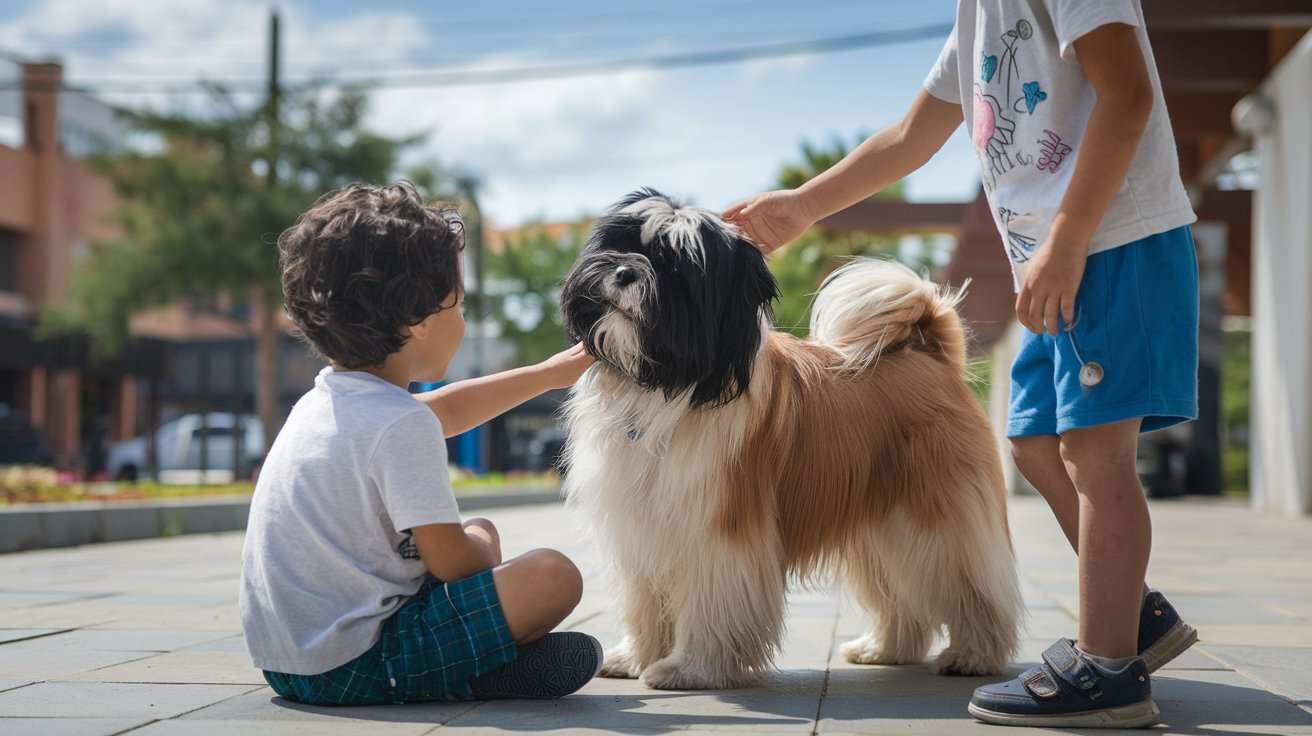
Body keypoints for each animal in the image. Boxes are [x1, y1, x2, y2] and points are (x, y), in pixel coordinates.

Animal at [558, 187, 1018, 687]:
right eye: (625, 243)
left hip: (935, 520)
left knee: (973, 585)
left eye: (677, 268)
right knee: (900, 594)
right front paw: (636, 657)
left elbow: (709, 604)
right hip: (880, 527)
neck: (669, 383)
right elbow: (644, 604)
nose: (624, 271)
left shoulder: (719, 530)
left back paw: (974, 655)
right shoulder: (640, 526)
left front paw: (690, 668)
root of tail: (931, 352)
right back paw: (883, 650)